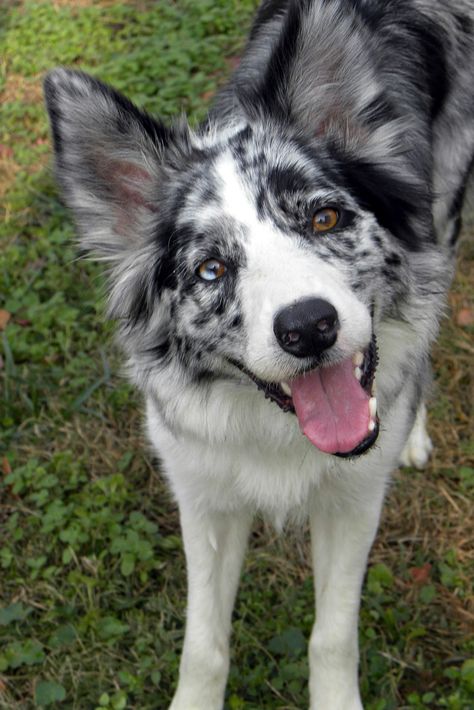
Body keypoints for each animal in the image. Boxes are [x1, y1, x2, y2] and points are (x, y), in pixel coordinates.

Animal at [43, 2, 474, 708]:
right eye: (212, 269)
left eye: (325, 219)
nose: (309, 328)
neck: (277, 426)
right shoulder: (204, 495)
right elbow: (204, 645)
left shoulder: (354, 500)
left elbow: (332, 637)